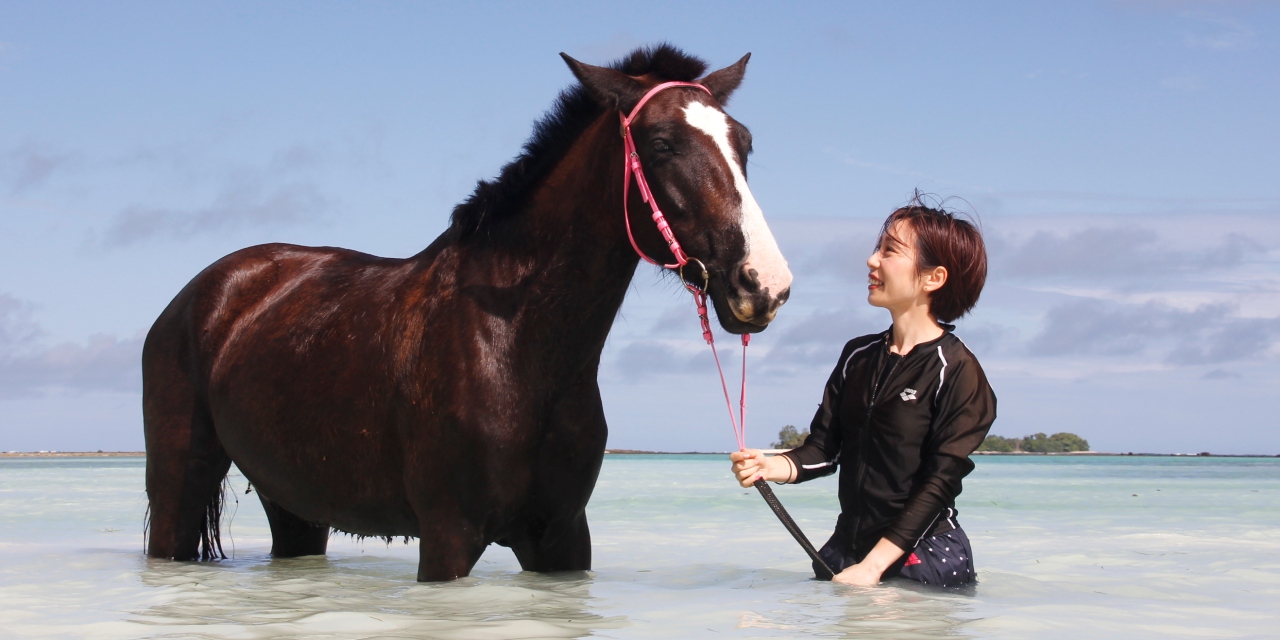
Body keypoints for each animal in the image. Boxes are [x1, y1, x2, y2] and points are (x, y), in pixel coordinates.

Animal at [145, 45, 793, 581]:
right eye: (661, 144)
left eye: (743, 142)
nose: (765, 284)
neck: (517, 343)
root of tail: (203, 293)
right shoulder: (448, 537)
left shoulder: (561, 536)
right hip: (178, 490)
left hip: (294, 504)